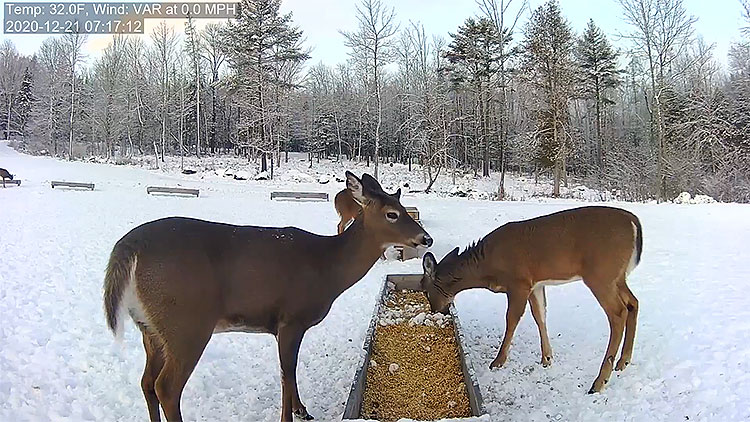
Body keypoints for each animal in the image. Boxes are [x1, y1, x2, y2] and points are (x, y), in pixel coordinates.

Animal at [103, 171, 432, 422]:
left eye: (403, 208)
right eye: (392, 214)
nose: (426, 238)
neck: (327, 268)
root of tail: (129, 247)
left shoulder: (285, 325)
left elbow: (290, 371)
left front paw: (302, 410)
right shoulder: (291, 318)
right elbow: (287, 371)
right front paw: (291, 415)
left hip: (150, 328)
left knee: (147, 382)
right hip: (186, 323)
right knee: (167, 388)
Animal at [420, 206, 642, 394]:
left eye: (425, 289)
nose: (436, 310)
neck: (487, 267)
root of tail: (634, 223)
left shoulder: (519, 282)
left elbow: (512, 319)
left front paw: (498, 361)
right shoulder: (536, 284)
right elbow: (540, 315)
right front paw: (547, 358)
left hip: (600, 274)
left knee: (618, 313)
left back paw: (599, 382)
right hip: (617, 277)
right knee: (633, 303)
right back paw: (623, 362)